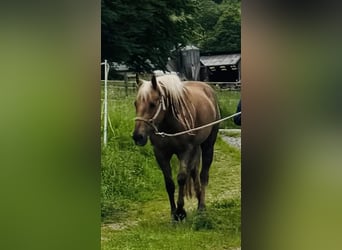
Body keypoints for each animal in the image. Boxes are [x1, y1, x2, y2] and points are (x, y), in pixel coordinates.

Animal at [132, 73, 220, 221]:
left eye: (152, 104)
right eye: (135, 104)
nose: (138, 137)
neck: (170, 124)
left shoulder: (185, 151)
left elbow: (181, 178)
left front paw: (180, 211)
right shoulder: (161, 154)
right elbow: (169, 183)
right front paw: (174, 213)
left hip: (207, 145)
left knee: (203, 175)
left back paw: (201, 207)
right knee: (194, 172)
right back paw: (198, 198)